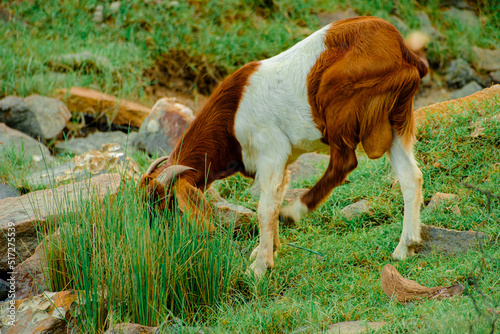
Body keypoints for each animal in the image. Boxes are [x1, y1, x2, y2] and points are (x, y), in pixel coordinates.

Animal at [142, 16, 430, 276]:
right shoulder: (283, 161)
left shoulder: (271, 152)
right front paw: (269, 249)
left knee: (344, 161)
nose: (156, 237)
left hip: (340, 101)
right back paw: (405, 246)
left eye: (165, 203)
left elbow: (265, 208)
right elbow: (276, 194)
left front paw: (259, 267)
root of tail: (402, 50)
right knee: (410, 176)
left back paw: (294, 212)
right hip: (394, 118)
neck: (231, 115)